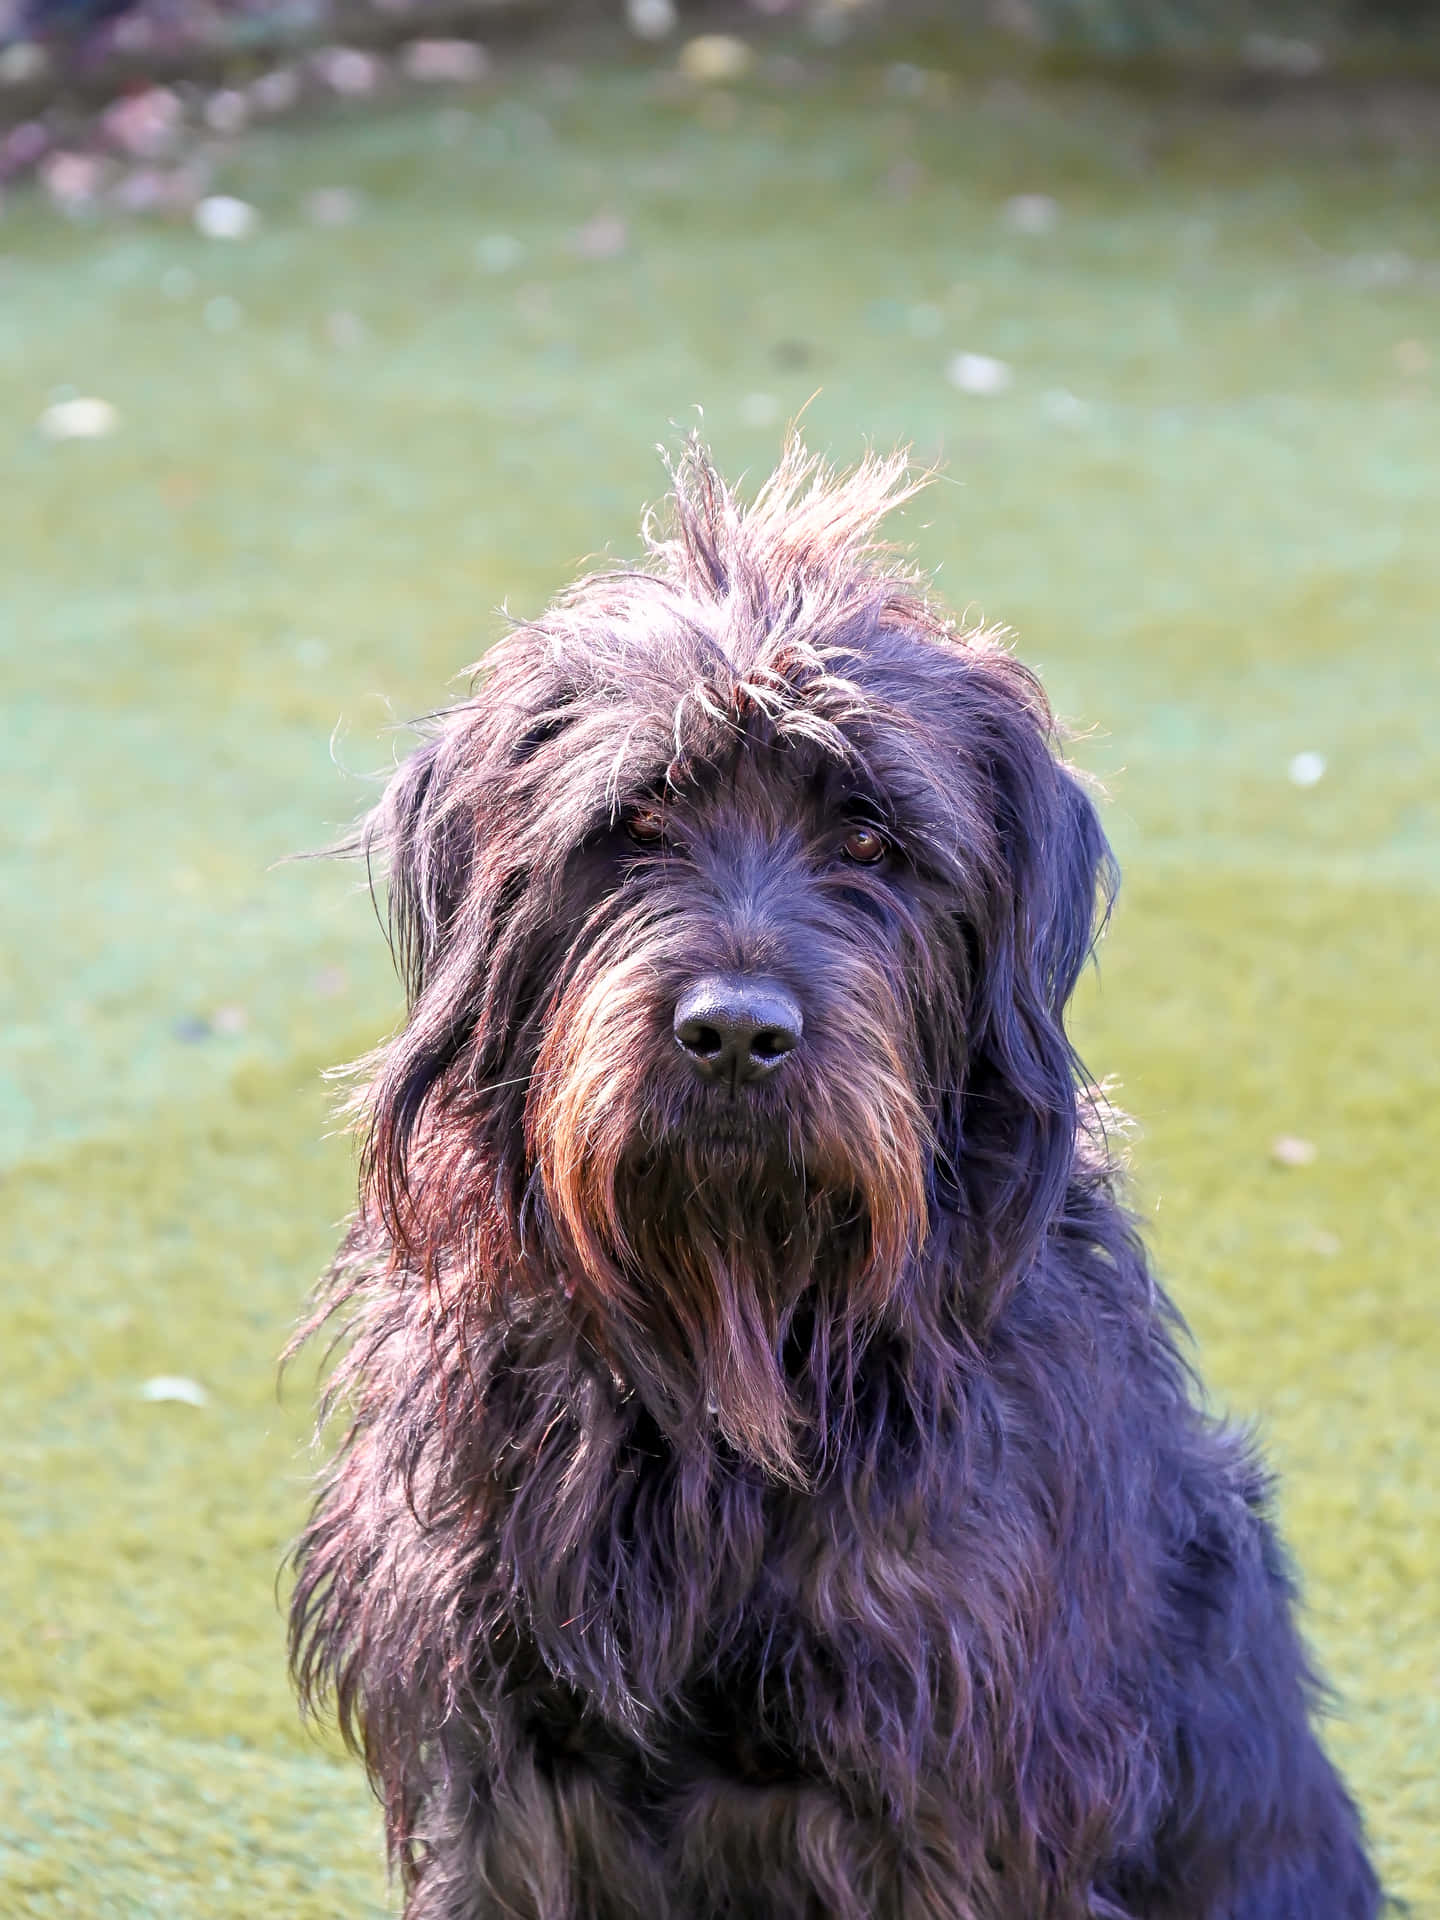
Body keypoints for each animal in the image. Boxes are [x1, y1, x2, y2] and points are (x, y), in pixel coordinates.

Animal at [288, 439, 1382, 1920]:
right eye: (636, 821)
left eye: (871, 842)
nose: (737, 1034)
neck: (735, 1334)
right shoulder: (490, 1762)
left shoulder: (965, 1788)